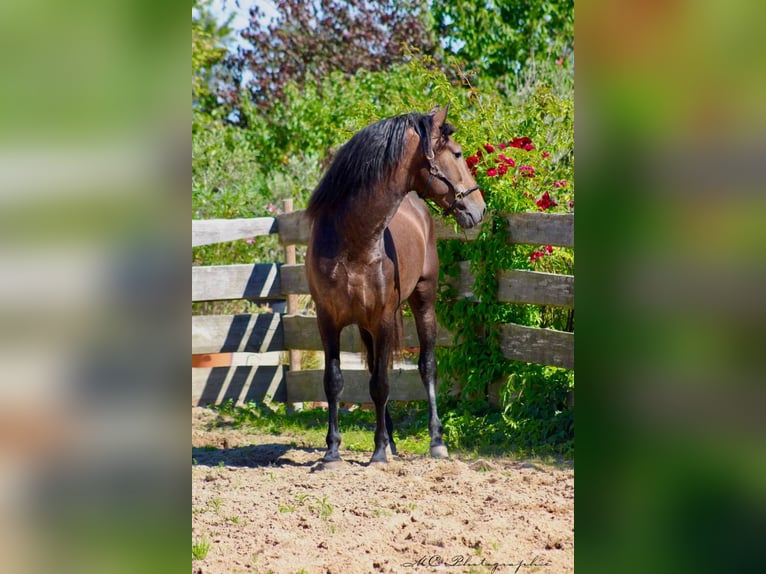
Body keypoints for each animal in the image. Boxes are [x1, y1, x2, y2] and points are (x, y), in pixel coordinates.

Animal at [306, 106, 486, 468]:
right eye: (457, 154)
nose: (480, 208)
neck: (353, 242)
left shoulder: (384, 319)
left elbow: (380, 385)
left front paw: (377, 453)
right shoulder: (327, 319)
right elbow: (334, 381)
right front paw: (332, 452)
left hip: (422, 301)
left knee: (426, 366)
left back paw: (435, 441)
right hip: (365, 326)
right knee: (376, 367)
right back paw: (389, 440)